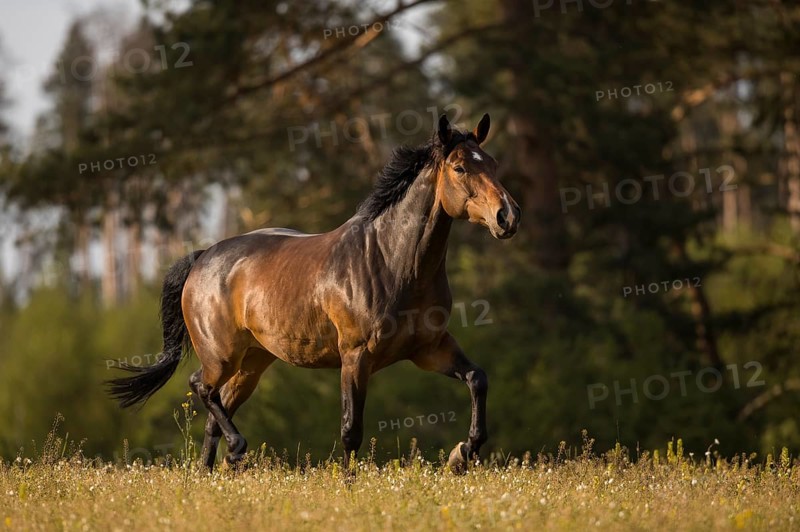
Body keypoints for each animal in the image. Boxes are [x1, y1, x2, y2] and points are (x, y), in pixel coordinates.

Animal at [107, 113, 521, 473]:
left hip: (253, 362)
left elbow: (477, 378)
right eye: (460, 168)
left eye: (492, 163)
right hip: (221, 356)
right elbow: (351, 429)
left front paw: (462, 454)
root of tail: (203, 258)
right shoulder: (355, 356)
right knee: (201, 387)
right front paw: (349, 484)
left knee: (215, 413)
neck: (394, 261)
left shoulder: (429, 348)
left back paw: (211, 475)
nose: (508, 217)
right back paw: (237, 450)